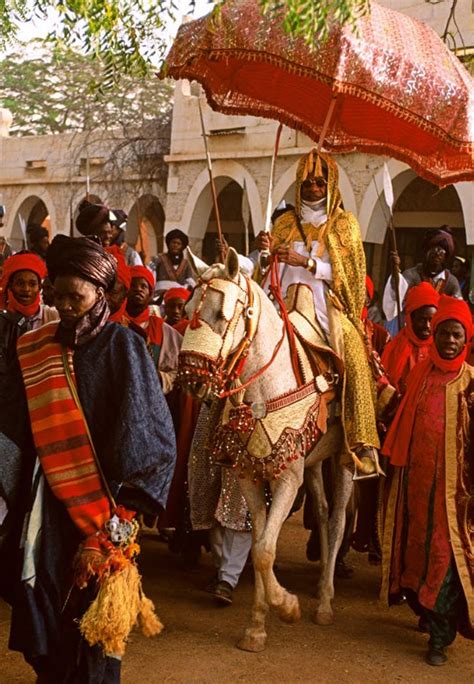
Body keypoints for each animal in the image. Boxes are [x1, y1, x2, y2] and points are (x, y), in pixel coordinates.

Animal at [180, 250, 354, 652]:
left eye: (221, 314)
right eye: (187, 310)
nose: (191, 377)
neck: (267, 387)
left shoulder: (286, 478)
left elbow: (263, 550)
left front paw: (287, 607)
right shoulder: (250, 474)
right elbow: (260, 544)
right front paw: (257, 626)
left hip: (344, 459)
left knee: (338, 518)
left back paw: (325, 601)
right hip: (312, 461)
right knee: (323, 512)